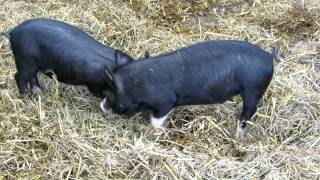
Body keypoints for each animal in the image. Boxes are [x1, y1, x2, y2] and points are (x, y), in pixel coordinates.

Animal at [1, 18, 134, 96]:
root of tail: (12, 32)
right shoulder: (94, 84)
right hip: (24, 61)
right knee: (19, 77)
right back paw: (25, 96)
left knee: (32, 77)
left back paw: (39, 94)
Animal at [100, 40, 278, 134]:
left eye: (110, 94)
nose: (101, 106)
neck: (137, 85)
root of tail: (268, 57)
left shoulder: (166, 102)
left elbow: (156, 122)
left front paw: (149, 129)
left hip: (253, 88)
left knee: (250, 110)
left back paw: (237, 135)